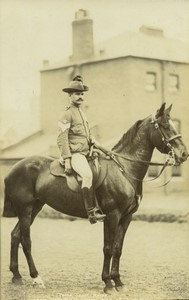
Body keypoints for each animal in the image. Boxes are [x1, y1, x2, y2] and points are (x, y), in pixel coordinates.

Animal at [2, 103, 188, 292]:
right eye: (164, 126)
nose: (183, 154)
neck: (123, 169)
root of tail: (15, 168)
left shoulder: (126, 217)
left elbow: (118, 248)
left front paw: (118, 281)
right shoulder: (112, 215)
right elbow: (108, 248)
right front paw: (108, 283)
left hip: (35, 208)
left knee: (15, 236)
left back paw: (16, 275)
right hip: (25, 210)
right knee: (25, 241)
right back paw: (36, 278)